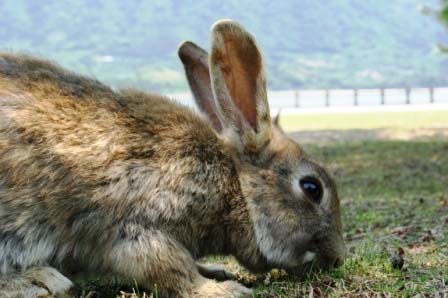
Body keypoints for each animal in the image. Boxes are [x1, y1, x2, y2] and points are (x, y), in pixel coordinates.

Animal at [0, 19, 346, 296]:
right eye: (312, 188)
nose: (338, 257)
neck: (234, 187)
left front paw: (215, 272)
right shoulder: (137, 224)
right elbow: (167, 265)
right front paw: (222, 289)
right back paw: (38, 280)